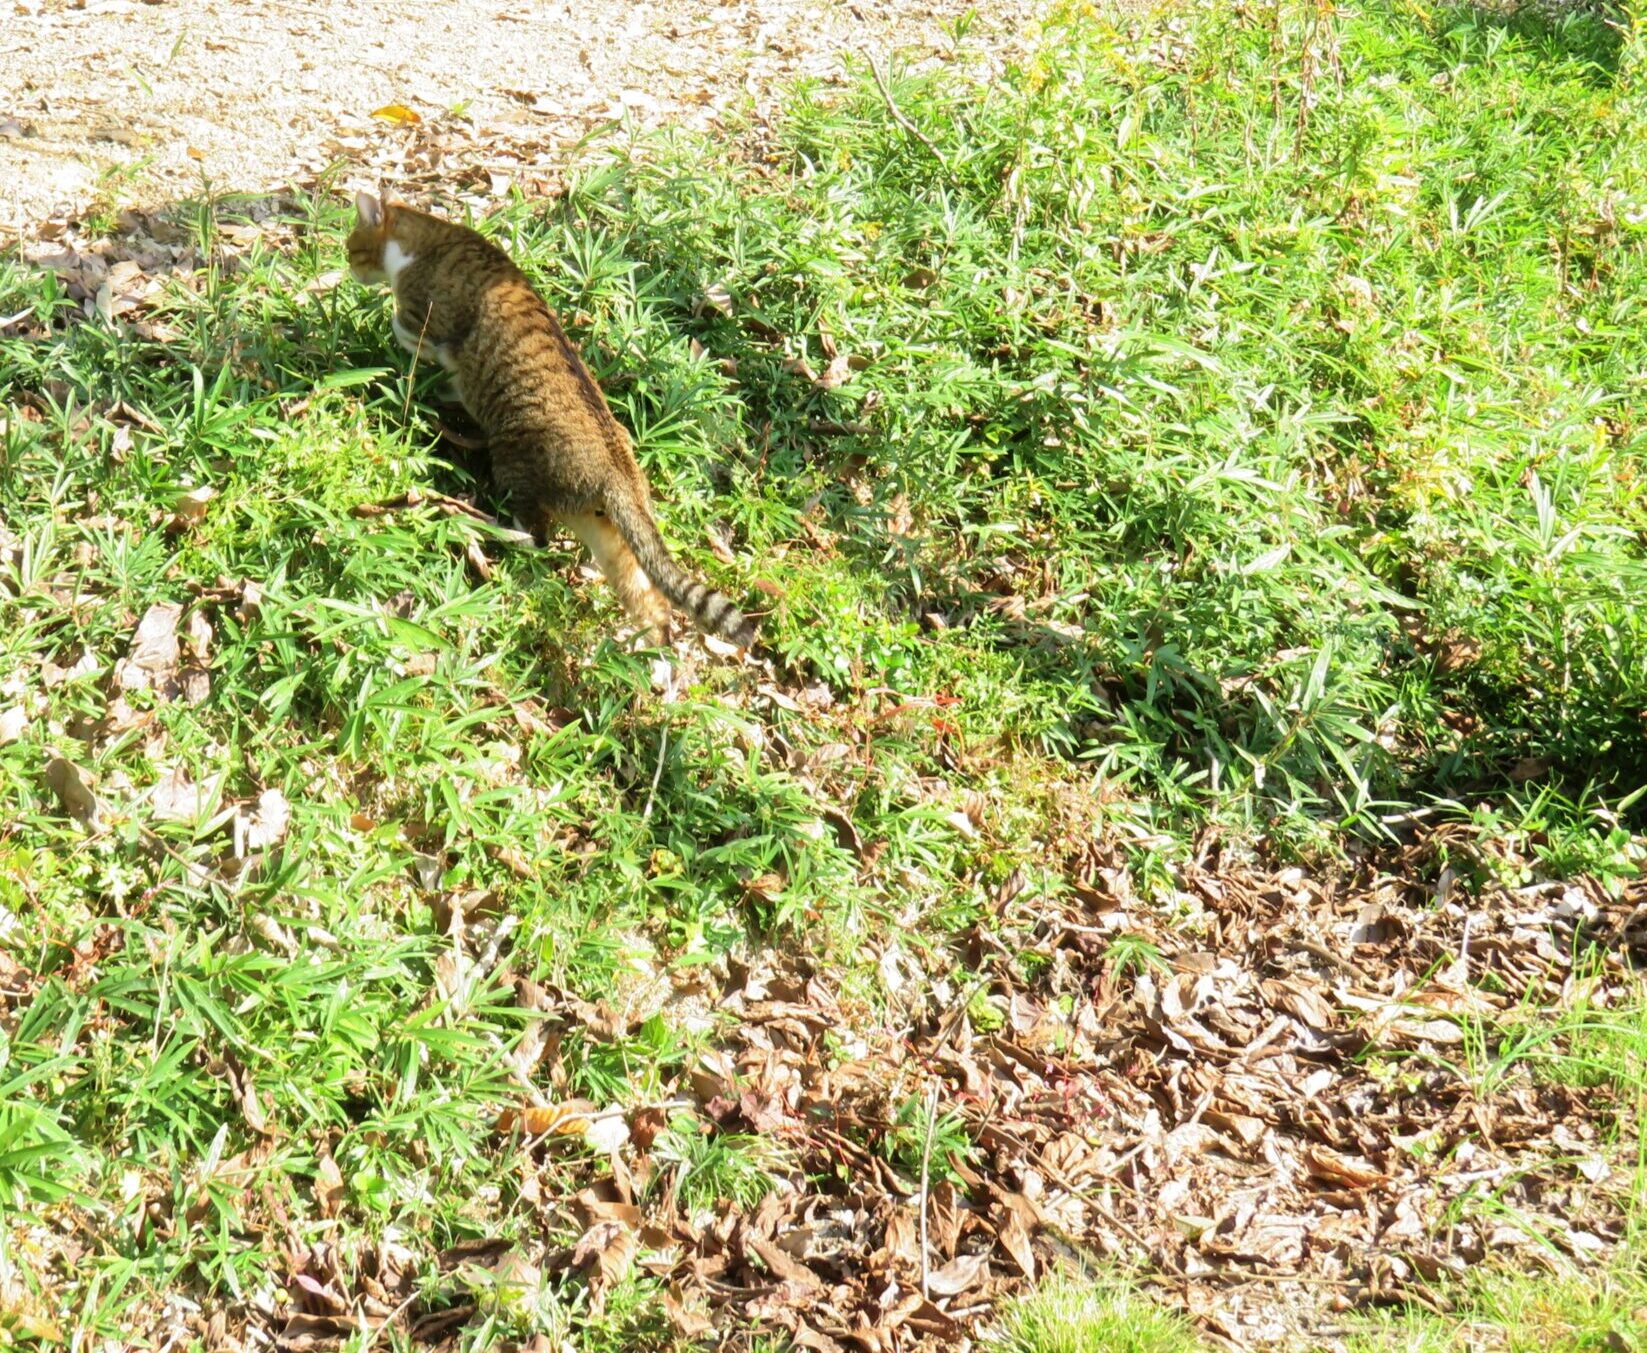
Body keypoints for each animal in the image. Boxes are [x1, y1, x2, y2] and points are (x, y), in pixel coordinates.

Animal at [350, 190, 760, 649]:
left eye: (352, 248)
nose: (347, 269)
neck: (431, 238)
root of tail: (618, 473)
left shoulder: (427, 316)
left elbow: (404, 328)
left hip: (515, 463)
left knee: (536, 538)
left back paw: (481, 526)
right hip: (606, 534)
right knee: (646, 595)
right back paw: (640, 647)